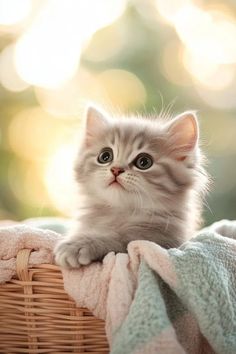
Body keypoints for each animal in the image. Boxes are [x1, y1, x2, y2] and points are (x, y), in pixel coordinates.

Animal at [54, 105, 207, 268]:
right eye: (105, 156)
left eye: (144, 162)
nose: (116, 169)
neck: (118, 213)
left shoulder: (159, 241)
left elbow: (118, 239)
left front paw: (78, 245)